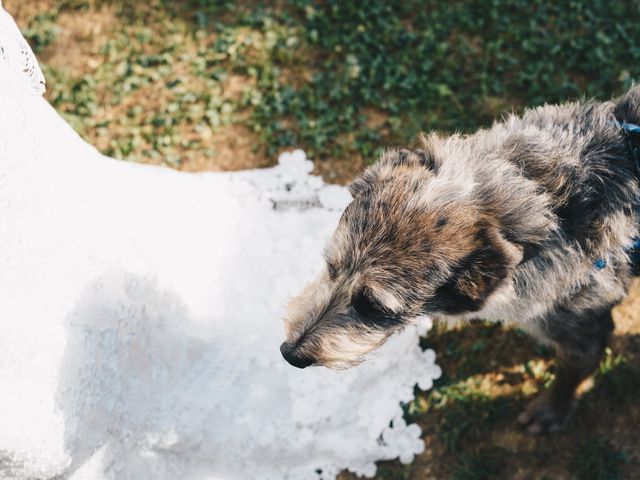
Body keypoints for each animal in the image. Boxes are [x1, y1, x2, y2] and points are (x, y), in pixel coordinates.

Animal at [280, 84, 640, 434]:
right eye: (330, 267)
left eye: (374, 307)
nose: (290, 354)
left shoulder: (582, 324)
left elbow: (577, 367)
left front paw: (553, 410)